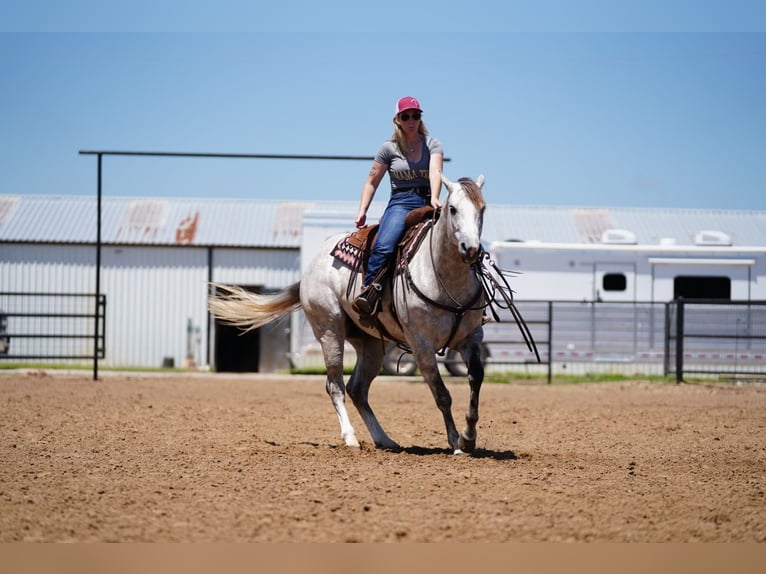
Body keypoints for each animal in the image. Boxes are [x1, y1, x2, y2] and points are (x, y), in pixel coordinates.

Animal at [208, 174, 486, 454]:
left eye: (482, 209)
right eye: (453, 209)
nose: (471, 249)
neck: (442, 277)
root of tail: (311, 268)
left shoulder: (471, 337)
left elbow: (476, 378)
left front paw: (469, 436)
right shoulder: (421, 346)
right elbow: (442, 394)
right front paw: (456, 442)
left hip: (371, 344)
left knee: (357, 389)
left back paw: (385, 439)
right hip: (330, 332)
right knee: (335, 386)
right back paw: (351, 437)